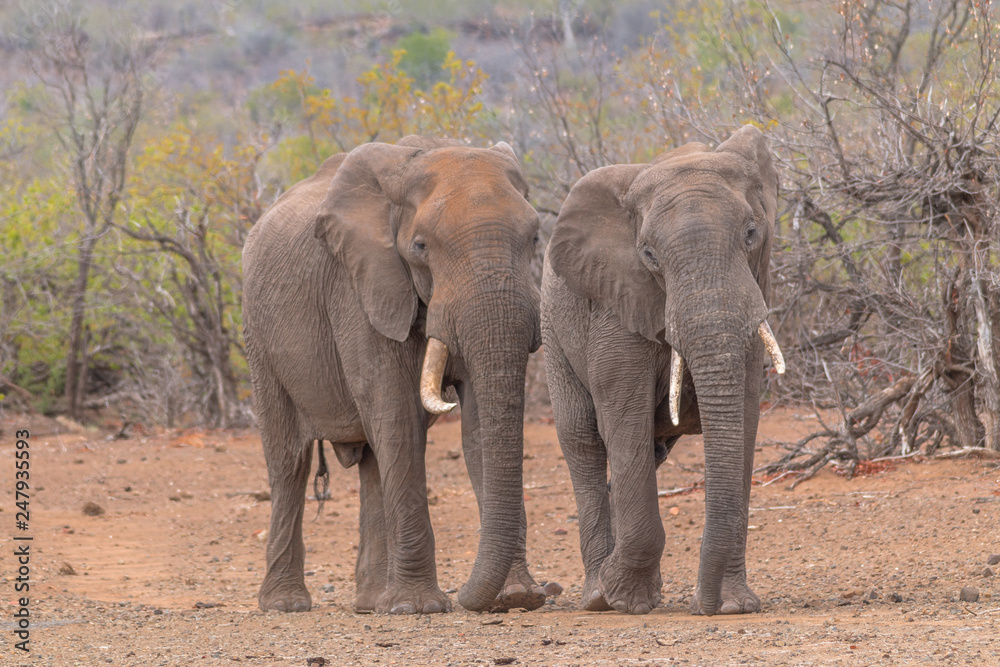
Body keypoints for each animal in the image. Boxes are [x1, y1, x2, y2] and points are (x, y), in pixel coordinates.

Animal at [242, 135, 549, 615]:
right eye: (420, 247)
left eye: (535, 237)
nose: (465, 597)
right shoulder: (360, 288)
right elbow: (398, 416)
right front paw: (418, 607)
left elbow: (479, 428)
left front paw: (517, 598)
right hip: (258, 336)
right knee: (290, 460)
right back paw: (286, 604)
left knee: (371, 462)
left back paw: (371, 602)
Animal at [540, 125, 784, 616]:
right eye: (649, 254)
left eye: (751, 233)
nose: (703, 606)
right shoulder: (615, 303)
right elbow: (622, 419)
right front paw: (625, 599)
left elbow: (744, 421)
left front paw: (735, 606)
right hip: (552, 329)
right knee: (583, 439)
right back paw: (598, 597)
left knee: (647, 453)